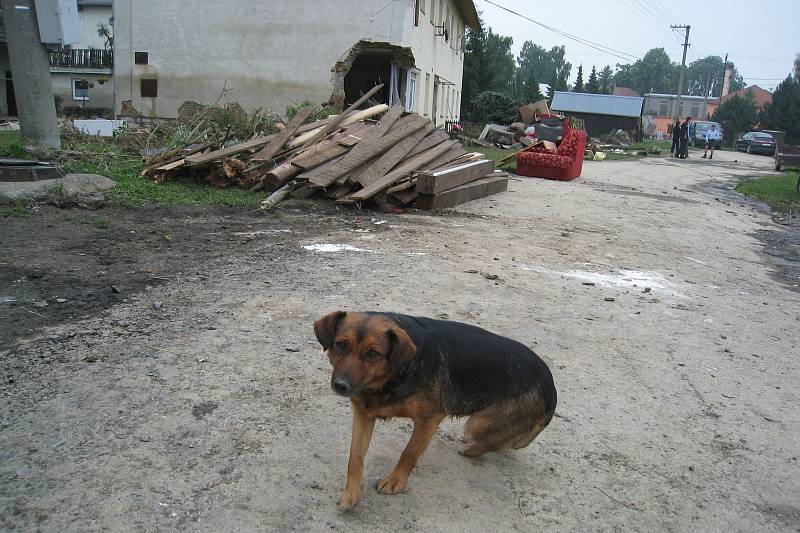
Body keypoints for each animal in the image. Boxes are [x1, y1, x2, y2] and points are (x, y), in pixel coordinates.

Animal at [312, 310, 556, 510]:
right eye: (341, 345)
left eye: (373, 353)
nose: (340, 386)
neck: (394, 376)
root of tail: (552, 387)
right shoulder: (363, 414)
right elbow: (355, 458)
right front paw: (351, 494)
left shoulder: (429, 419)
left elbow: (409, 453)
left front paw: (395, 480)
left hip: (478, 423)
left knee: (500, 441)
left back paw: (473, 449)